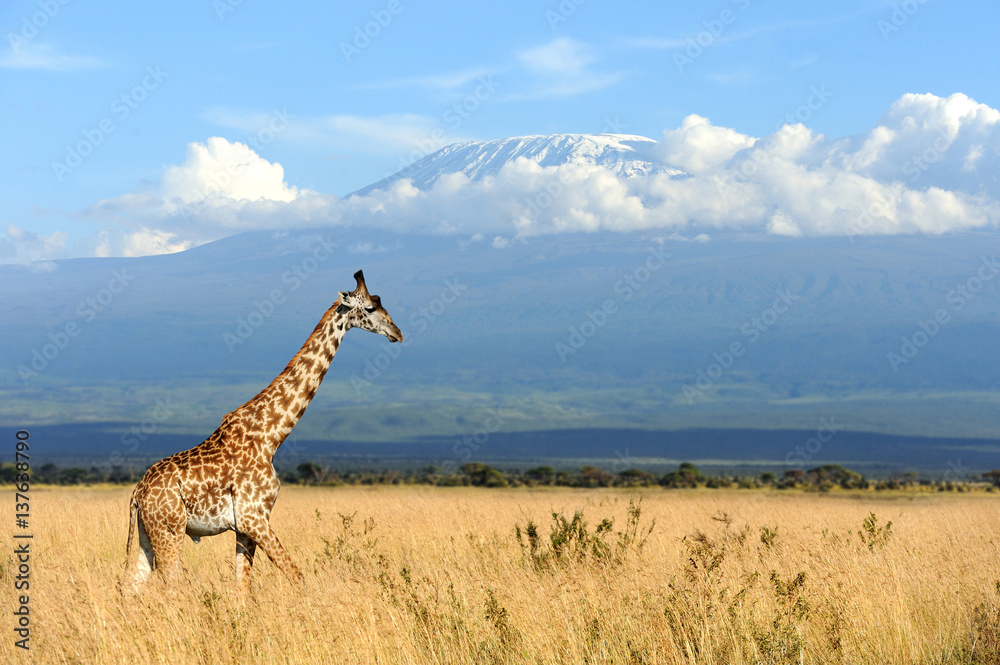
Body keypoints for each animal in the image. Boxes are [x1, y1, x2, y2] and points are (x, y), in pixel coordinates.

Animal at [125, 272, 402, 592]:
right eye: (370, 307)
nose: (397, 333)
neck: (271, 435)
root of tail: (137, 492)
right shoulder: (253, 517)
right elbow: (297, 576)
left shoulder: (246, 526)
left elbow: (243, 586)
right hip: (170, 529)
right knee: (170, 585)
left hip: (147, 535)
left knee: (129, 585)